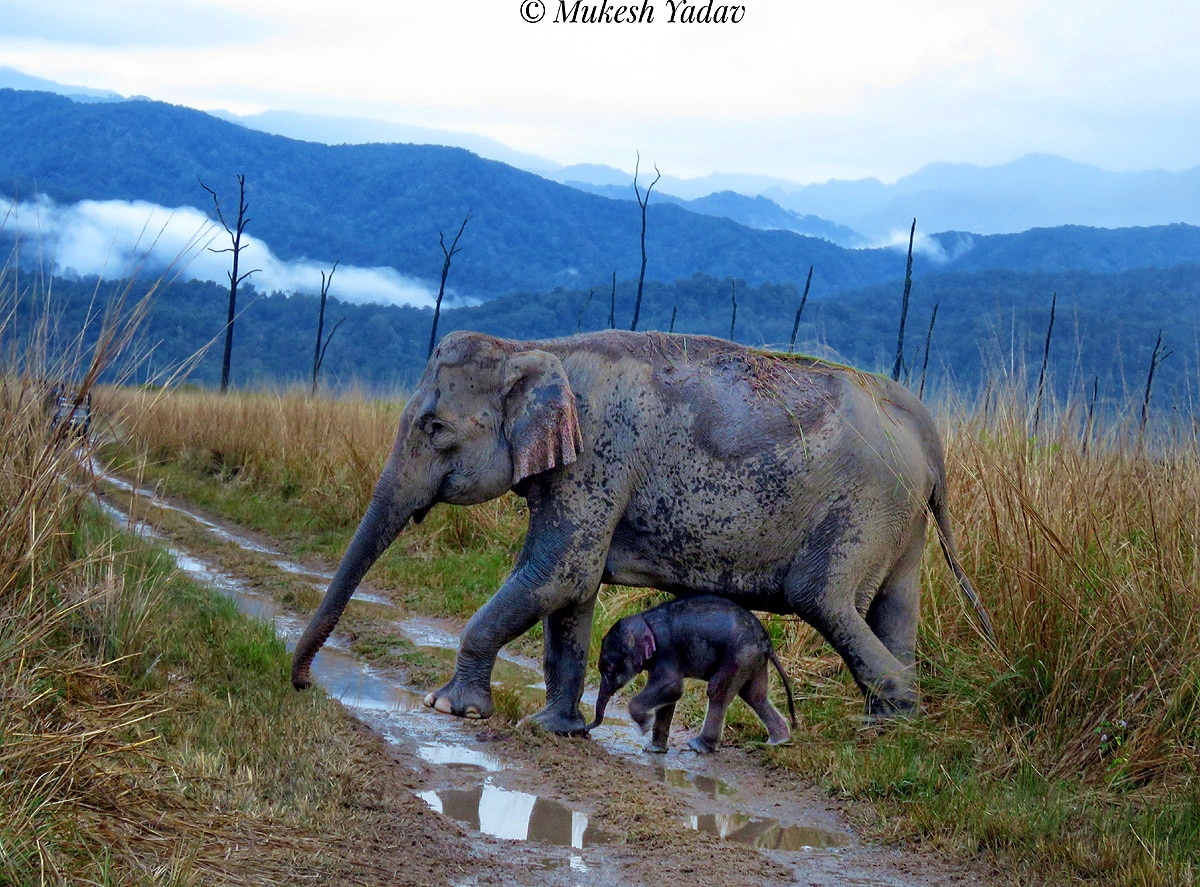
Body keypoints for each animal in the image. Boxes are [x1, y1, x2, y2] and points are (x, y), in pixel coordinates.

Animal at [291, 329, 993, 735]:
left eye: (434, 427)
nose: (303, 684)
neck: (535, 347)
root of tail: (925, 429)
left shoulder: (600, 457)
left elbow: (560, 571)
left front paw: (452, 709)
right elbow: (572, 590)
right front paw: (557, 728)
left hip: (864, 509)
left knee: (825, 598)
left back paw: (888, 727)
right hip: (901, 522)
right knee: (893, 609)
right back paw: (894, 729)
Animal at [586, 594, 797, 754]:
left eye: (610, 667)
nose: (586, 731)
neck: (644, 618)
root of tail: (766, 643)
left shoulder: (665, 650)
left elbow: (672, 686)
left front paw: (644, 725)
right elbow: (669, 695)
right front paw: (654, 749)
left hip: (739, 656)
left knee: (718, 693)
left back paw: (698, 746)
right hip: (752, 660)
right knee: (755, 696)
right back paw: (778, 741)